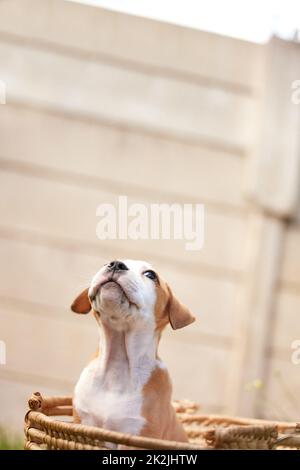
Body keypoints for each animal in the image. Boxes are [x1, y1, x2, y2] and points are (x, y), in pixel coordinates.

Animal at [71, 258, 196, 446]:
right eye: (106, 263)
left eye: (151, 274)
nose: (116, 264)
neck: (118, 363)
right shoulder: (83, 421)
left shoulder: (139, 434)